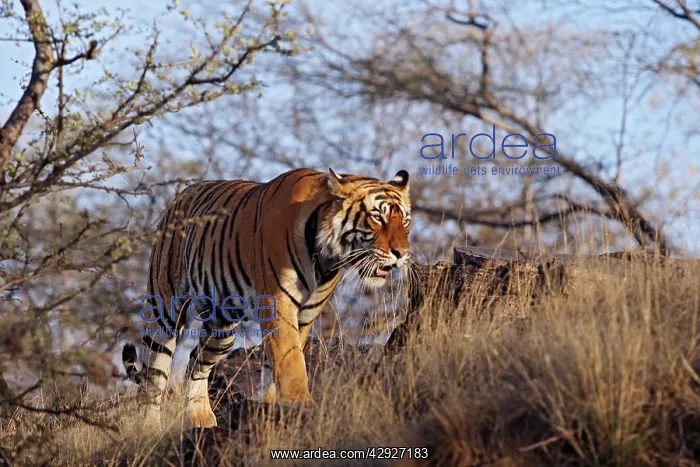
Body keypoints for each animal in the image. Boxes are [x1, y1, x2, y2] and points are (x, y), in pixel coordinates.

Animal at [121, 168, 411, 428]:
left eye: (405, 221)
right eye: (377, 217)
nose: (403, 253)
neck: (326, 256)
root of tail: (180, 196)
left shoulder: (306, 313)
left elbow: (278, 363)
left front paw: (270, 407)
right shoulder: (278, 303)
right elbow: (290, 360)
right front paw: (300, 404)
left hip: (222, 330)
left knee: (196, 362)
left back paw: (200, 418)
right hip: (164, 311)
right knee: (153, 377)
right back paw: (149, 426)